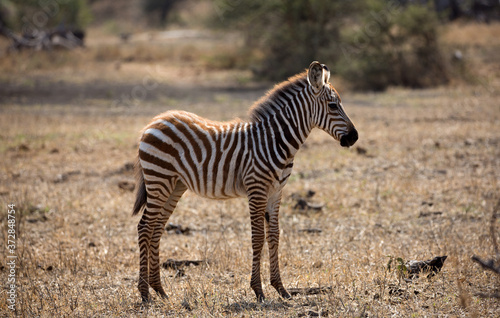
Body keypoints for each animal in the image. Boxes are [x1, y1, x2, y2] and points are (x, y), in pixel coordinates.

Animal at [133, 60, 358, 302]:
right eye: (333, 106)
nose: (354, 137)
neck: (275, 141)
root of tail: (155, 121)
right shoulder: (256, 188)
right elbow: (258, 238)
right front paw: (258, 290)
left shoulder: (276, 191)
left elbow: (274, 236)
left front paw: (281, 288)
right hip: (159, 179)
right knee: (145, 227)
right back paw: (145, 293)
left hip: (174, 185)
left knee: (157, 228)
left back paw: (160, 290)